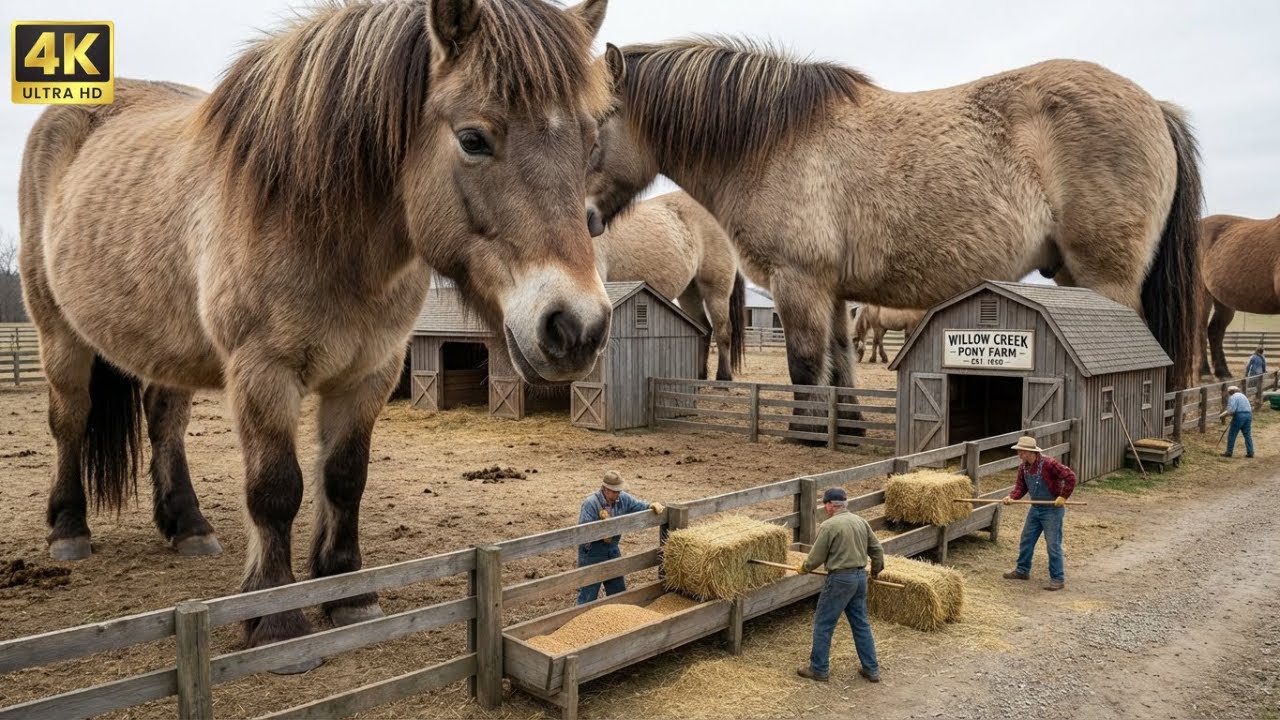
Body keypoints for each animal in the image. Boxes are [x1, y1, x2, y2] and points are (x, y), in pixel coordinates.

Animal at [18, 0, 613, 656]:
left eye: (591, 142)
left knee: (164, 422)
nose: (577, 326)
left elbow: (345, 478)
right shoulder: (263, 372)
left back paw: (189, 526)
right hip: (58, 334)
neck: (317, 225)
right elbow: (276, 490)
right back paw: (69, 530)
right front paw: (275, 619)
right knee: (69, 420)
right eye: (473, 139)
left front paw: (347, 594)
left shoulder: (371, 371)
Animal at [591, 191, 746, 380]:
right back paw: (699, 375)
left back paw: (723, 377)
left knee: (722, 330)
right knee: (705, 329)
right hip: (689, 293)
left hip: (717, 291)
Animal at [1200, 213, 1280, 379]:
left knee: (1215, 331)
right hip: (1202, 294)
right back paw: (1204, 372)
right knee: (1201, 328)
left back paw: (1223, 372)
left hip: (1223, 301)